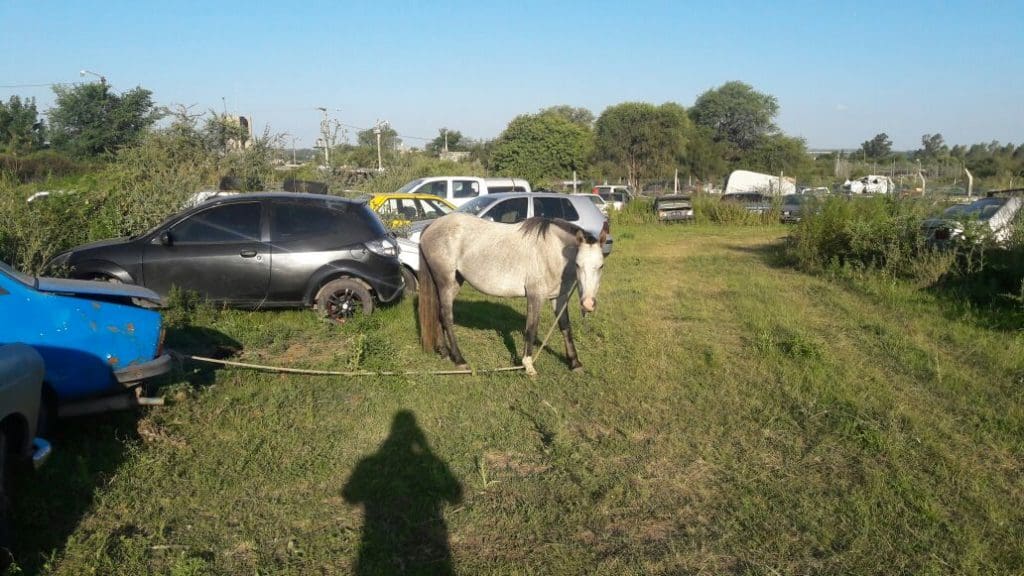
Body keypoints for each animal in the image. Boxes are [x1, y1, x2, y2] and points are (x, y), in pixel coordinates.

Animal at [417, 212, 602, 373]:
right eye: (578, 264)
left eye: (601, 266)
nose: (588, 304)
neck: (551, 249)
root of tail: (431, 226)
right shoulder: (535, 296)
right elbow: (531, 329)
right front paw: (528, 365)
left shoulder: (559, 297)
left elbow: (565, 327)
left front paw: (575, 363)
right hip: (446, 283)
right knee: (446, 317)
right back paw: (459, 359)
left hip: (454, 282)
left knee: (438, 314)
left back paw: (444, 352)